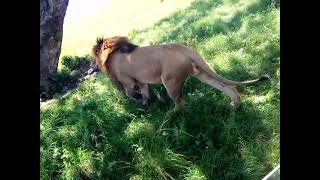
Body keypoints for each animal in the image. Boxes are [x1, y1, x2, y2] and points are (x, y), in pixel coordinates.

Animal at [92, 35, 270, 110]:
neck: (114, 52)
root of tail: (183, 48)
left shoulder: (128, 81)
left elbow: (130, 94)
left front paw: (139, 101)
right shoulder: (141, 81)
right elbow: (145, 91)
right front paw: (146, 103)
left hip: (170, 81)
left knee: (180, 103)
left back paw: (171, 115)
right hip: (201, 73)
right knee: (229, 87)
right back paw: (235, 105)